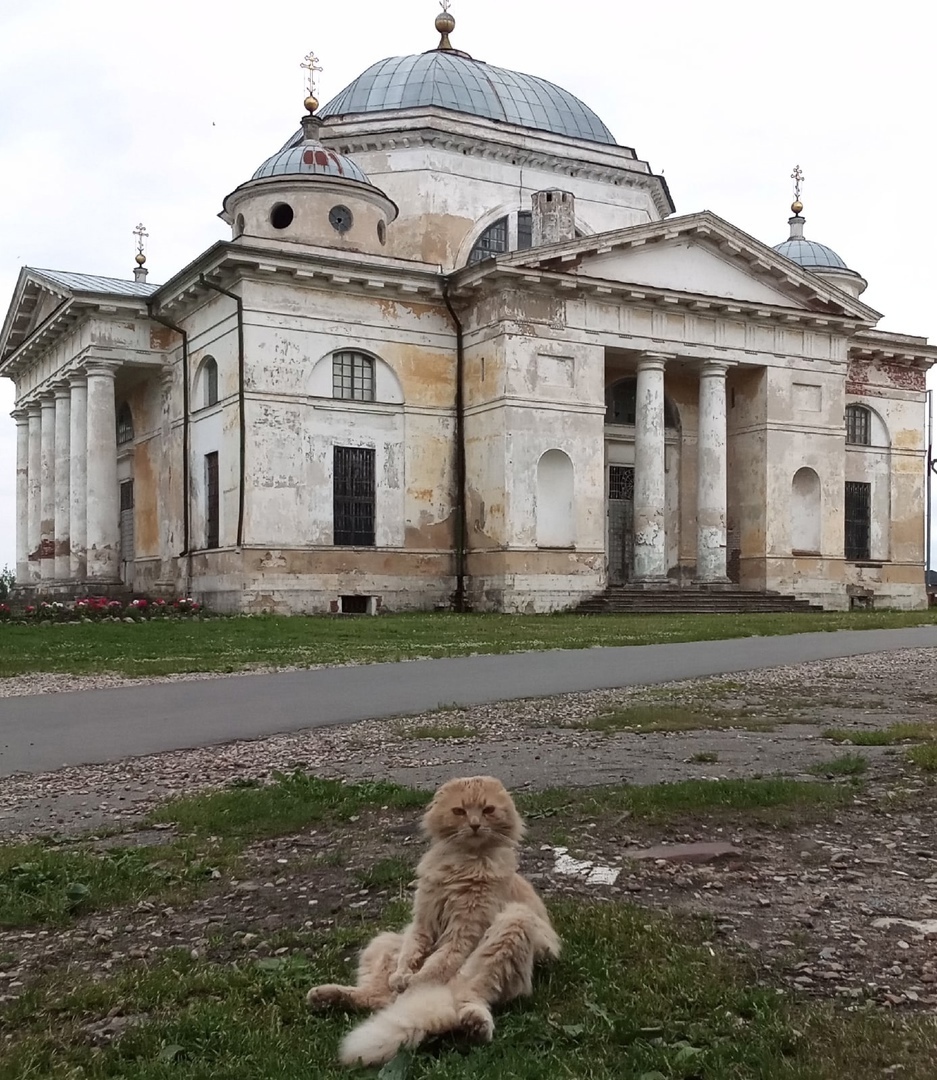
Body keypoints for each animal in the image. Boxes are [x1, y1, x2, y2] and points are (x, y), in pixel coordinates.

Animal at [306, 773, 557, 1067]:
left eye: (487, 810)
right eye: (459, 811)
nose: (474, 825)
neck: (461, 862)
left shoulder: (463, 932)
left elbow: (435, 965)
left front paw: (414, 981)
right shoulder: (422, 923)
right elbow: (411, 955)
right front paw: (403, 976)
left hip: (513, 922)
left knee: (467, 995)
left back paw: (474, 1025)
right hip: (384, 942)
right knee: (379, 997)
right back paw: (327, 997)